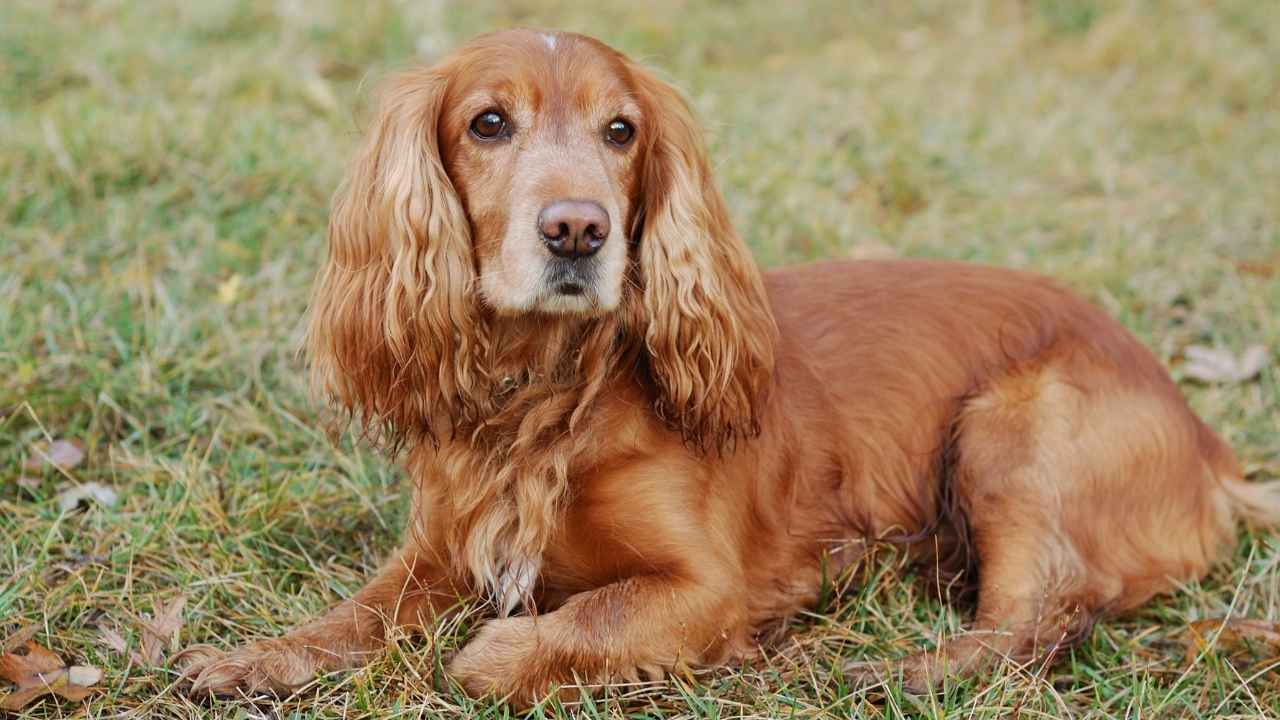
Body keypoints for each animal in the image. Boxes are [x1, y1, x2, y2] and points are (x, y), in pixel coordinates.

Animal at [180, 28, 1280, 702]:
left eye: (620, 131)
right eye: (487, 123)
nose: (576, 230)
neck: (546, 395)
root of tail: (1210, 447)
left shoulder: (707, 586)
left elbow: (549, 631)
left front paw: (498, 649)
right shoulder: (440, 549)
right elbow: (351, 616)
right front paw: (249, 658)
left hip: (1011, 426)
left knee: (1044, 611)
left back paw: (906, 670)